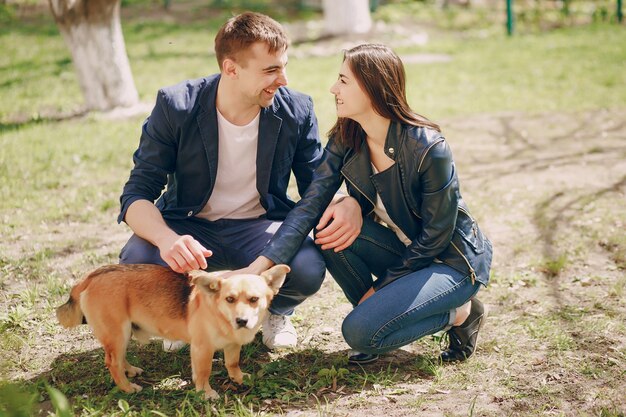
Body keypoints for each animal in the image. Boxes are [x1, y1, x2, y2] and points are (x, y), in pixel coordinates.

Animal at [54, 264, 288, 396]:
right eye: (230, 299)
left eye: (254, 299)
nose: (241, 320)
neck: (218, 312)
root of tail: (88, 277)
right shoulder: (202, 349)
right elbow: (203, 372)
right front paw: (205, 393)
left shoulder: (232, 345)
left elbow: (233, 363)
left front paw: (238, 378)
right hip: (117, 333)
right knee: (112, 362)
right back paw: (128, 388)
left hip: (122, 334)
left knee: (117, 359)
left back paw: (130, 371)